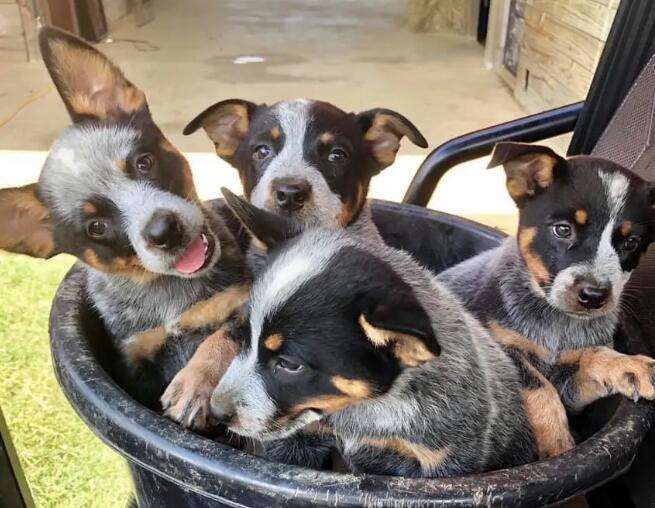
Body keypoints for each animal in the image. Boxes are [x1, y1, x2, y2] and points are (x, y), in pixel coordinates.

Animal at [0, 25, 247, 426]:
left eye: (143, 162)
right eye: (96, 227)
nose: (164, 231)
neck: (165, 292)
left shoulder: (242, 300)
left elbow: (225, 335)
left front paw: (196, 381)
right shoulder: (133, 358)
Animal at [210, 192, 540, 478]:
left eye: (290, 365)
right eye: (241, 336)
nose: (216, 411)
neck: (364, 411)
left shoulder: (445, 461)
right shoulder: (297, 442)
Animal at [438, 142, 655, 456]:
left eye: (630, 243)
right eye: (563, 229)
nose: (594, 295)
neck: (557, 324)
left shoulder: (571, 386)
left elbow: (592, 355)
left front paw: (632, 366)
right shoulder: (499, 350)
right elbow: (541, 389)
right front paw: (557, 446)